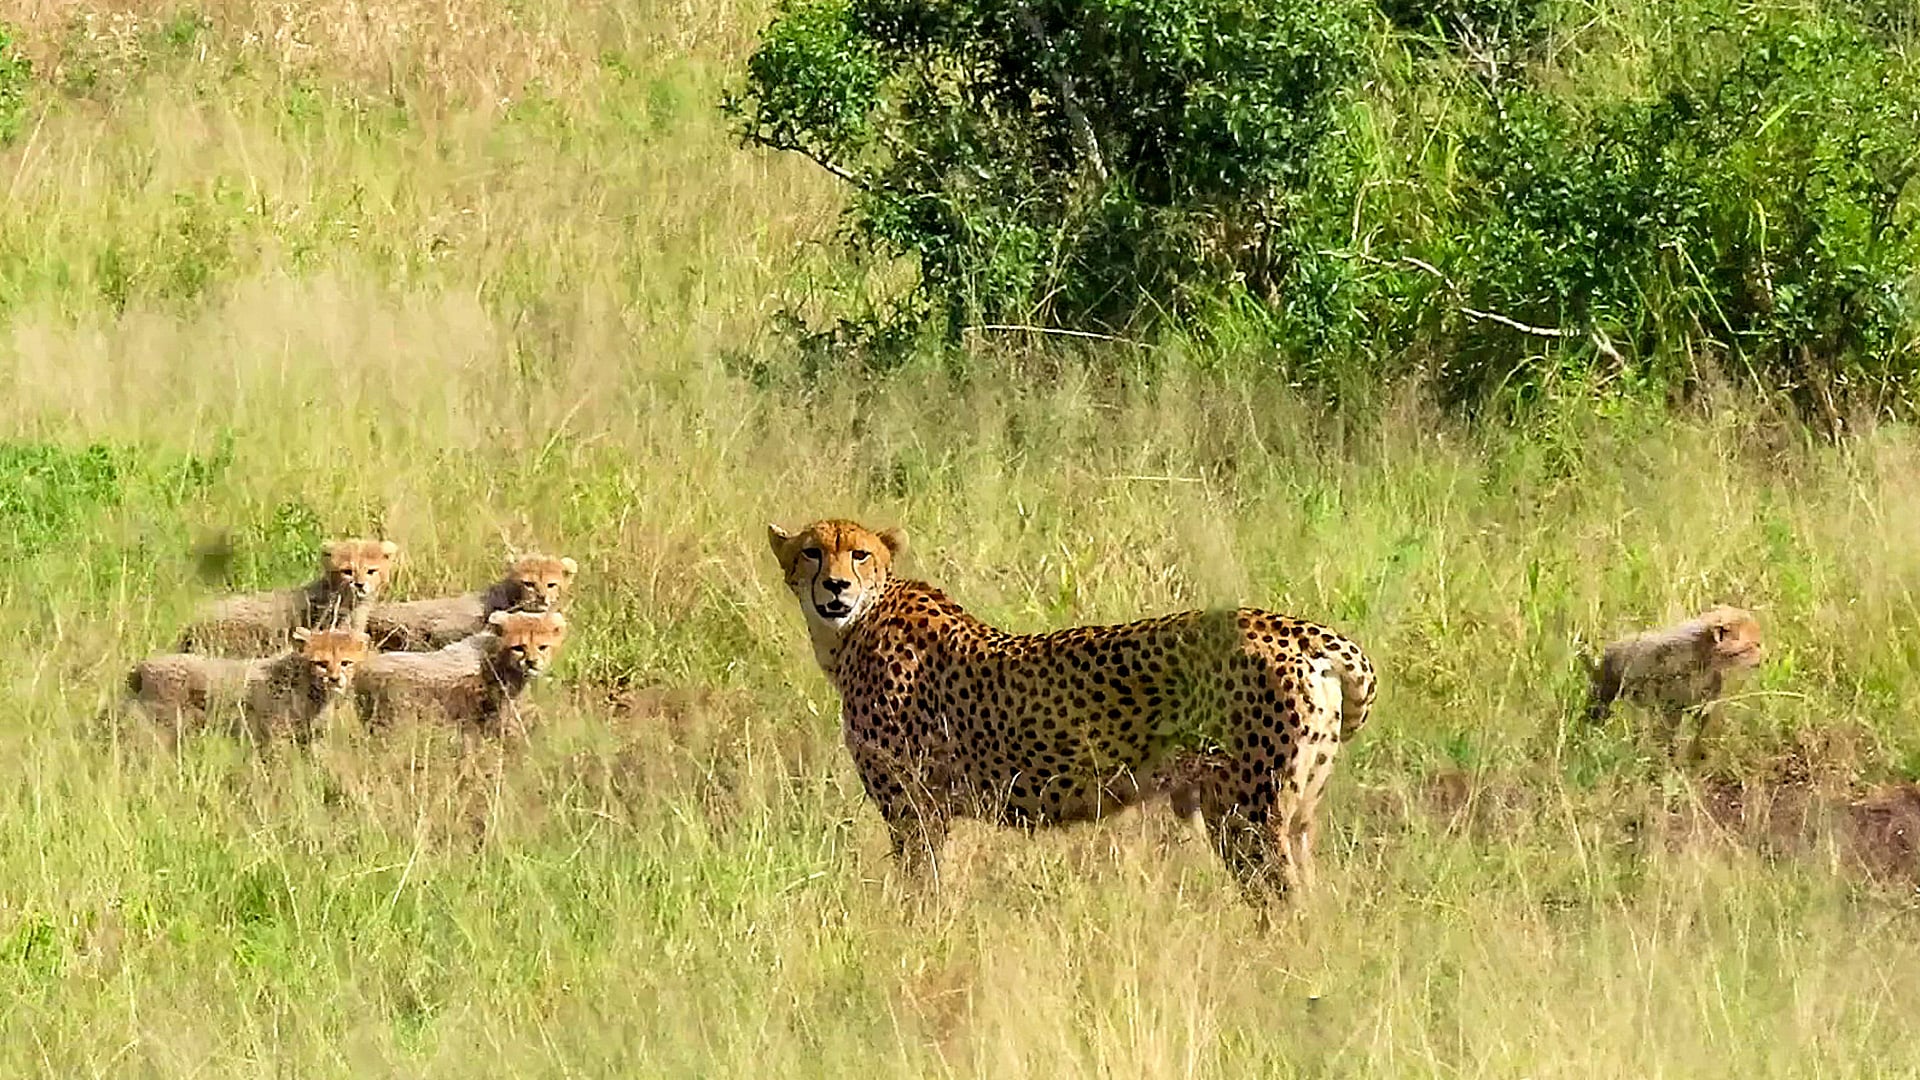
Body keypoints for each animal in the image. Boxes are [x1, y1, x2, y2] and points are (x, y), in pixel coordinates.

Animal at [767, 517, 1378, 902]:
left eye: (860, 553)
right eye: (811, 552)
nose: (836, 586)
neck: (853, 628)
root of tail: (1294, 628)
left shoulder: (915, 810)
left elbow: (921, 889)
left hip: (1245, 812)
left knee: (1283, 898)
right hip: (1295, 813)